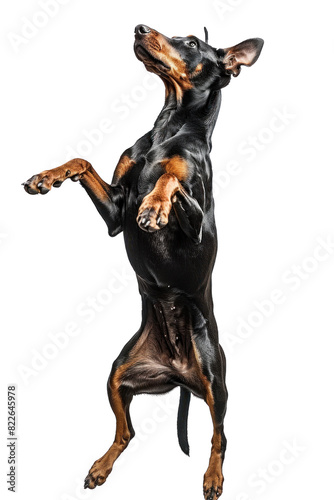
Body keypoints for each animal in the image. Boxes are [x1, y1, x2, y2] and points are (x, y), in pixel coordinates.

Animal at [22, 25, 264, 498]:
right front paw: (48, 177)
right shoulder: (116, 213)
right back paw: (101, 466)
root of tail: (180, 374)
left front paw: (154, 205)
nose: (139, 28)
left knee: (220, 435)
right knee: (127, 431)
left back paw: (213, 477)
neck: (169, 128)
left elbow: (170, 178)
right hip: (120, 372)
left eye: (192, 43)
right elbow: (84, 161)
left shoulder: (197, 222)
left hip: (215, 378)